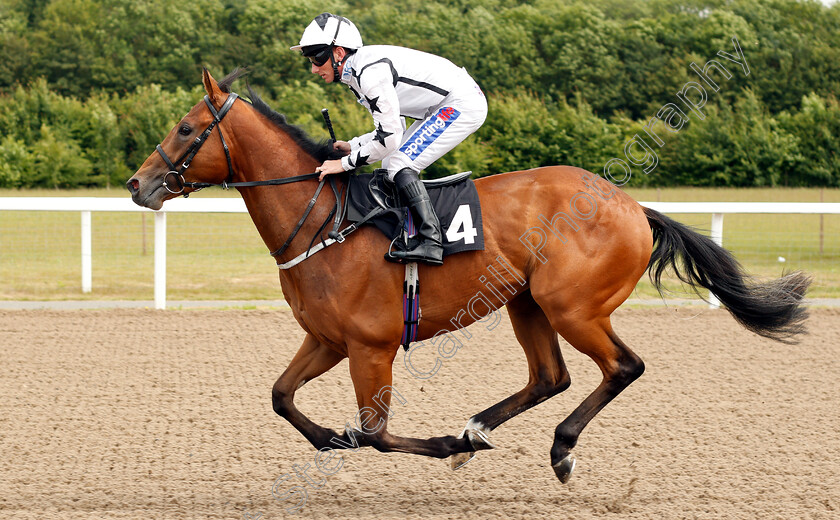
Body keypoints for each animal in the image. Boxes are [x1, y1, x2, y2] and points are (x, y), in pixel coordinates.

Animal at [124, 70, 808, 484]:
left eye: (186, 129)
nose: (137, 184)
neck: (324, 221)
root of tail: (635, 207)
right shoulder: (326, 339)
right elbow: (281, 396)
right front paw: (330, 439)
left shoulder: (370, 348)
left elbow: (376, 434)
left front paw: (439, 446)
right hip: (527, 303)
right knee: (551, 376)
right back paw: (479, 427)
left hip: (573, 306)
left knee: (622, 367)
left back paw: (557, 448)